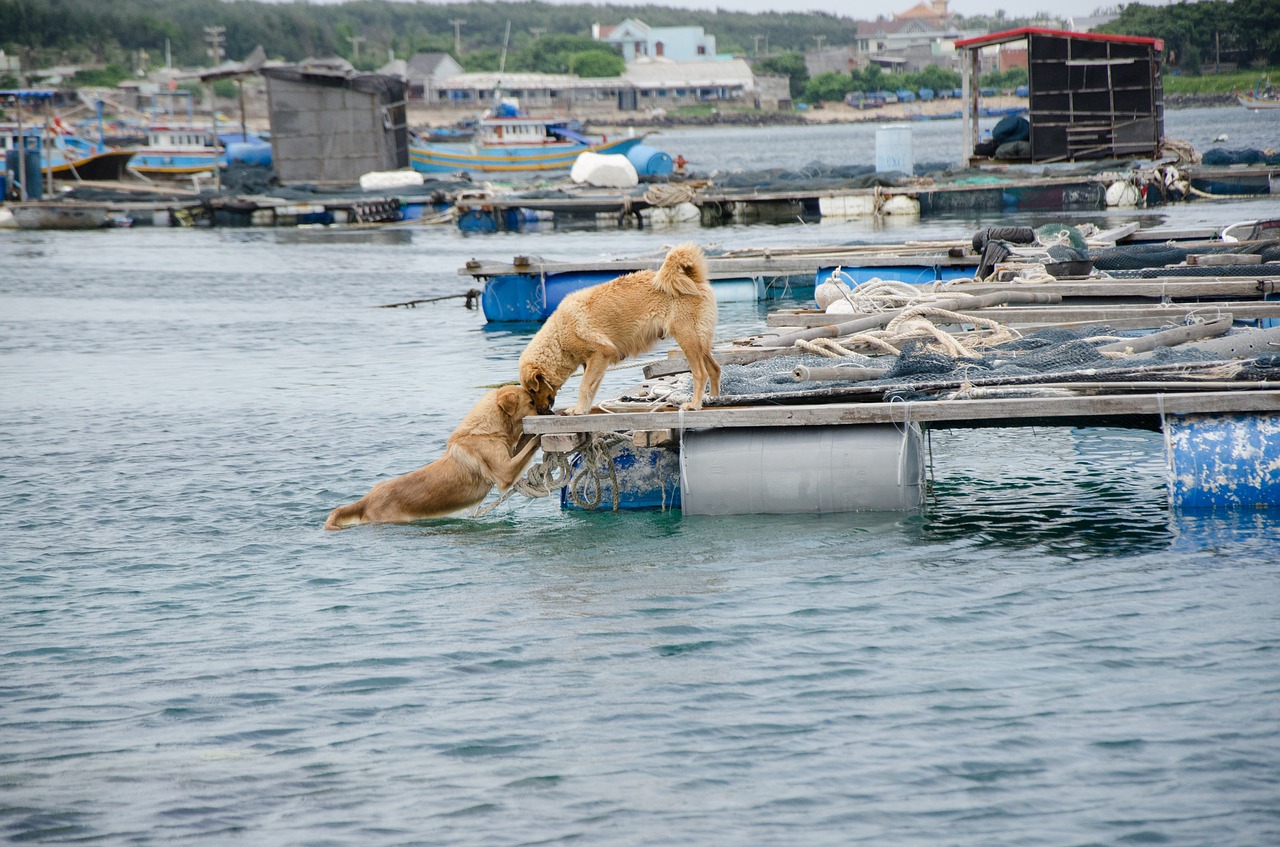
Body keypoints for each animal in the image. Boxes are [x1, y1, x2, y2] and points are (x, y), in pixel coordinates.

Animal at [325, 388, 540, 534]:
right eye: (531, 402)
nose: (546, 409)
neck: (485, 429)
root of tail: (366, 499)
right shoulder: (506, 472)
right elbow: (530, 444)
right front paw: (540, 433)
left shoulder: (509, 457)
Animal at [519, 240, 721, 417]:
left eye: (532, 390)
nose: (540, 411)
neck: (558, 337)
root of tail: (693, 279)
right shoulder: (594, 363)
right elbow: (591, 387)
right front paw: (583, 408)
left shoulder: (601, 352)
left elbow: (584, 386)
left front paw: (579, 410)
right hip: (699, 341)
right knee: (715, 369)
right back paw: (713, 399)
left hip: (687, 338)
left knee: (701, 373)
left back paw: (694, 404)